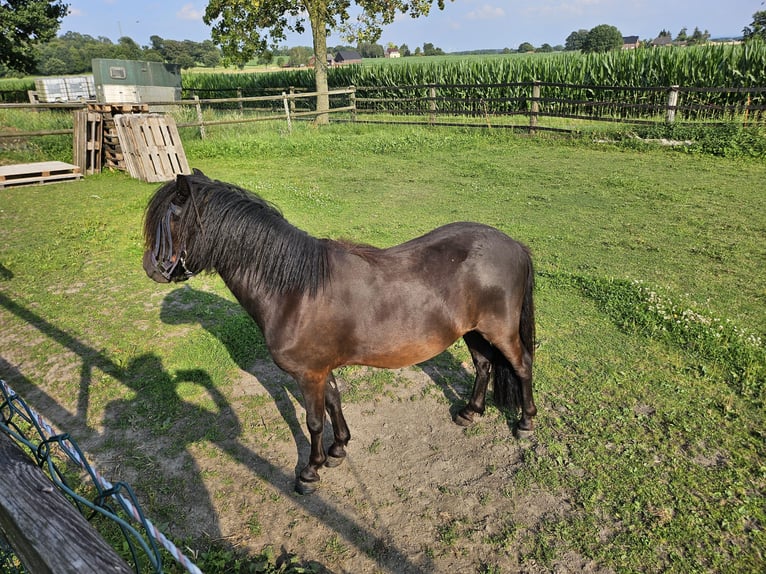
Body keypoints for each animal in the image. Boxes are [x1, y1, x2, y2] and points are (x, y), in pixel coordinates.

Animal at [144, 170, 540, 496]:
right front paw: (338, 449)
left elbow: (313, 420)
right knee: (484, 364)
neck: (294, 291)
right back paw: (471, 412)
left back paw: (525, 423)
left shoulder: (308, 375)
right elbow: (334, 400)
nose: (151, 268)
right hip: (472, 330)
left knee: (521, 364)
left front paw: (310, 471)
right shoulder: (321, 370)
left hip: (500, 330)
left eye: (169, 217)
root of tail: (514, 245)